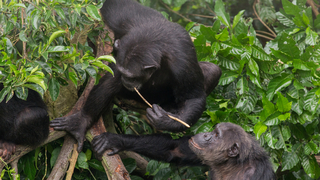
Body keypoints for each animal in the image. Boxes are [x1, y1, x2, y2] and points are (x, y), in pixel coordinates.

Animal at [50, 0, 222, 152]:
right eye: (126, 74)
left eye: (132, 77)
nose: (126, 80)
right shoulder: (127, 18)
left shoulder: (182, 58)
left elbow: (193, 97)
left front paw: (166, 122)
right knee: (111, 80)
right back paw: (81, 122)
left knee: (212, 70)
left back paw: (171, 108)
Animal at [92, 122, 276, 180]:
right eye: (214, 130)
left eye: (216, 135)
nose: (206, 134)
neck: (230, 165)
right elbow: (175, 149)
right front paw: (113, 140)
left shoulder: (254, 175)